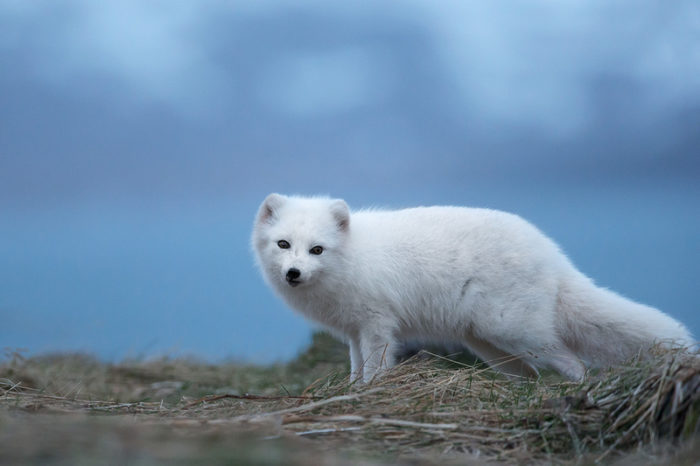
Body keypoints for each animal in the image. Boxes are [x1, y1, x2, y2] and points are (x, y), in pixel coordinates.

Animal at [250, 193, 688, 382]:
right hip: (490, 345)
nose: (293, 273)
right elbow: (356, 368)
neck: (353, 257)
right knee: (531, 373)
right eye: (284, 245)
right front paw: (351, 394)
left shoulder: (377, 325)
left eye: (317, 249)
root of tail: (553, 255)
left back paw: (576, 393)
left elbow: (375, 368)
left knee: (573, 362)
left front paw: (370, 395)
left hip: (515, 331)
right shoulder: (354, 332)